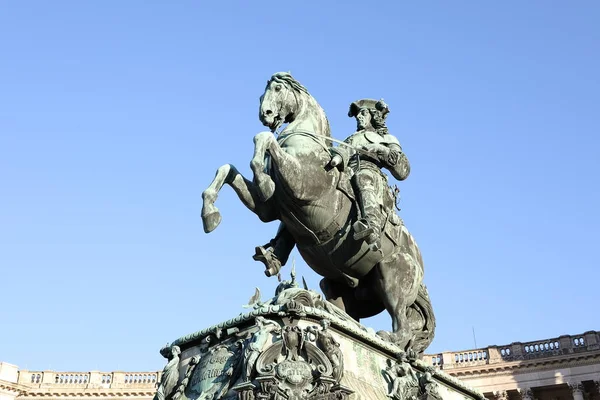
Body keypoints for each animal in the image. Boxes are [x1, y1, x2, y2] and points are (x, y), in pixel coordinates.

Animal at [203, 73, 436, 354]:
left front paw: (262, 173)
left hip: (391, 274)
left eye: (277, 88)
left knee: (401, 325)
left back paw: (387, 337)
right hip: (336, 285)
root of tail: (420, 266)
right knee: (346, 314)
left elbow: (263, 140)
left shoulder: (300, 184)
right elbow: (228, 169)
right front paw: (210, 214)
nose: (265, 114)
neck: (307, 144)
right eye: (262, 94)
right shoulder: (267, 208)